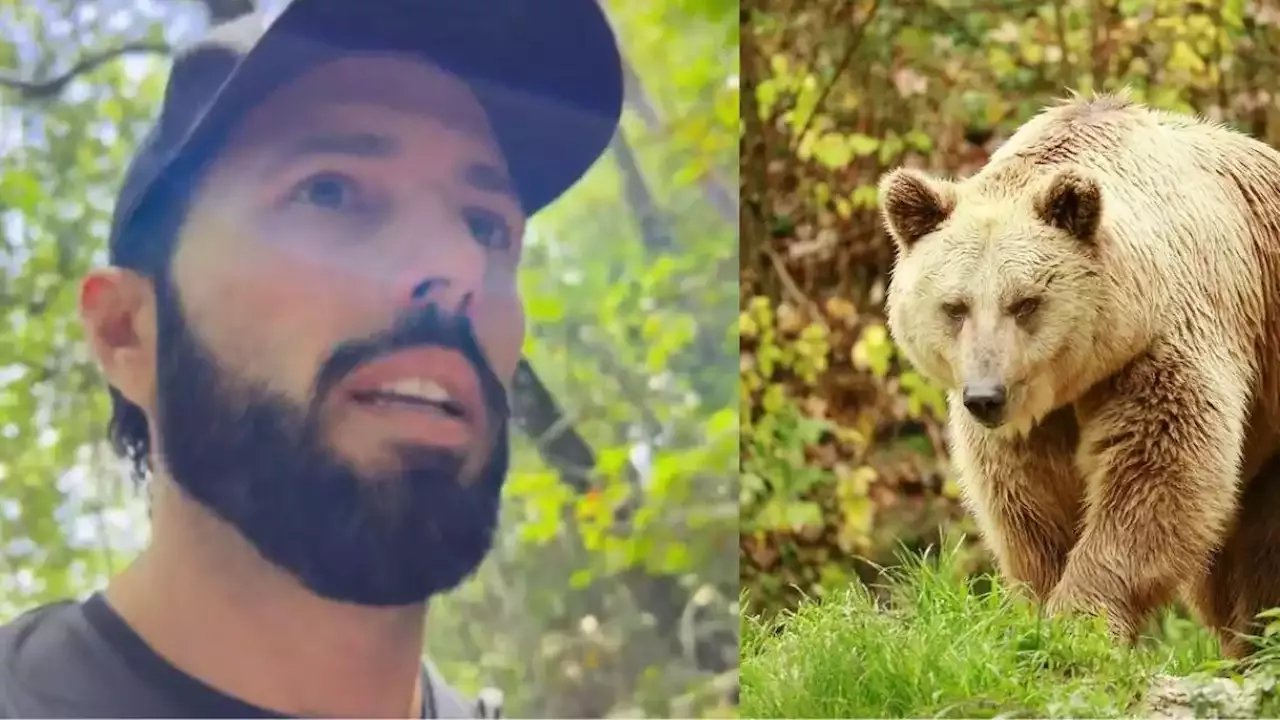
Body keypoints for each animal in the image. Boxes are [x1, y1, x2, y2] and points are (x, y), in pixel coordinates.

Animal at [880, 90, 1280, 655]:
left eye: (1025, 302)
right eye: (954, 307)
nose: (985, 396)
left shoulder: (1158, 349)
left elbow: (1156, 480)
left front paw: (1082, 621)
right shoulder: (1031, 426)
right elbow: (1030, 505)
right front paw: (1039, 610)